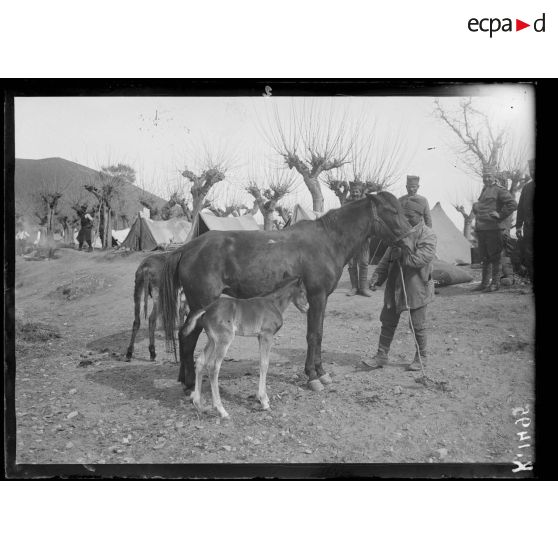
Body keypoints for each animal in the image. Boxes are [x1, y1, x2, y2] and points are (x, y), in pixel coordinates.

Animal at [160, 192, 414, 394]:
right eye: (392, 211)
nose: (411, 242)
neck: (328, 241)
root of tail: (188, 248)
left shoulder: (322, 299)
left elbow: (319, 334)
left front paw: (322, 373)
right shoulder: (316, 296)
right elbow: (313, 335)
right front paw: (312, 377)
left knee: (184, 335)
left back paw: (183, 378)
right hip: (202, 305)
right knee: (188, 337)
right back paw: (190, 384)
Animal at [185, 276, 308, 420]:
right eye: (302, 291)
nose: (307, 307)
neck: (273, 304)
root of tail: (207, 309)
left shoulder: (260, 337)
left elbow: (262, 363)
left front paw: (264, 398)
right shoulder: (267, 335)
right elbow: (265, 364)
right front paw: (264, 402)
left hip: (212, 340)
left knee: (200, 361)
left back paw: (199, 404)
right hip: (224, 340)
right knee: (213, 367)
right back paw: (221, 410)